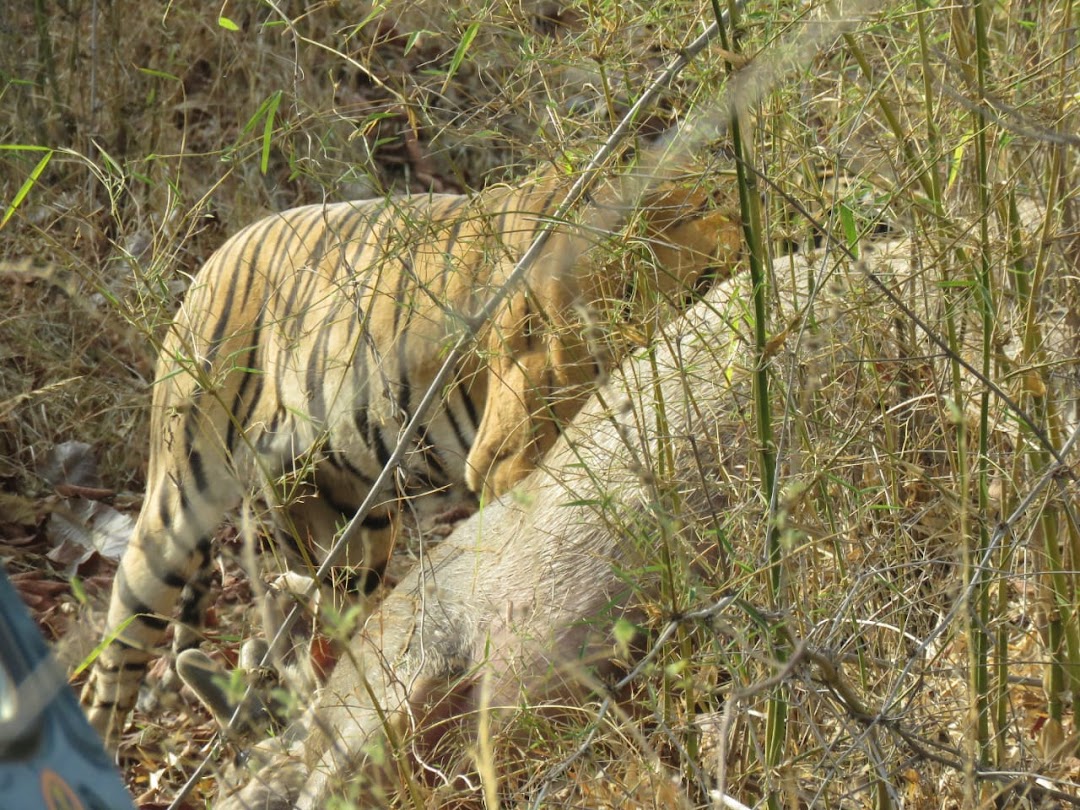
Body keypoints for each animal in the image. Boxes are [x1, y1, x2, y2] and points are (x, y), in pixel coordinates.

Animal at [82, 168, 743, 751]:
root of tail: (210, 261)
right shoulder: (514, 456)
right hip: (179, 505)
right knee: (115, 657)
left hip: (350, 518)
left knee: (336, 619)